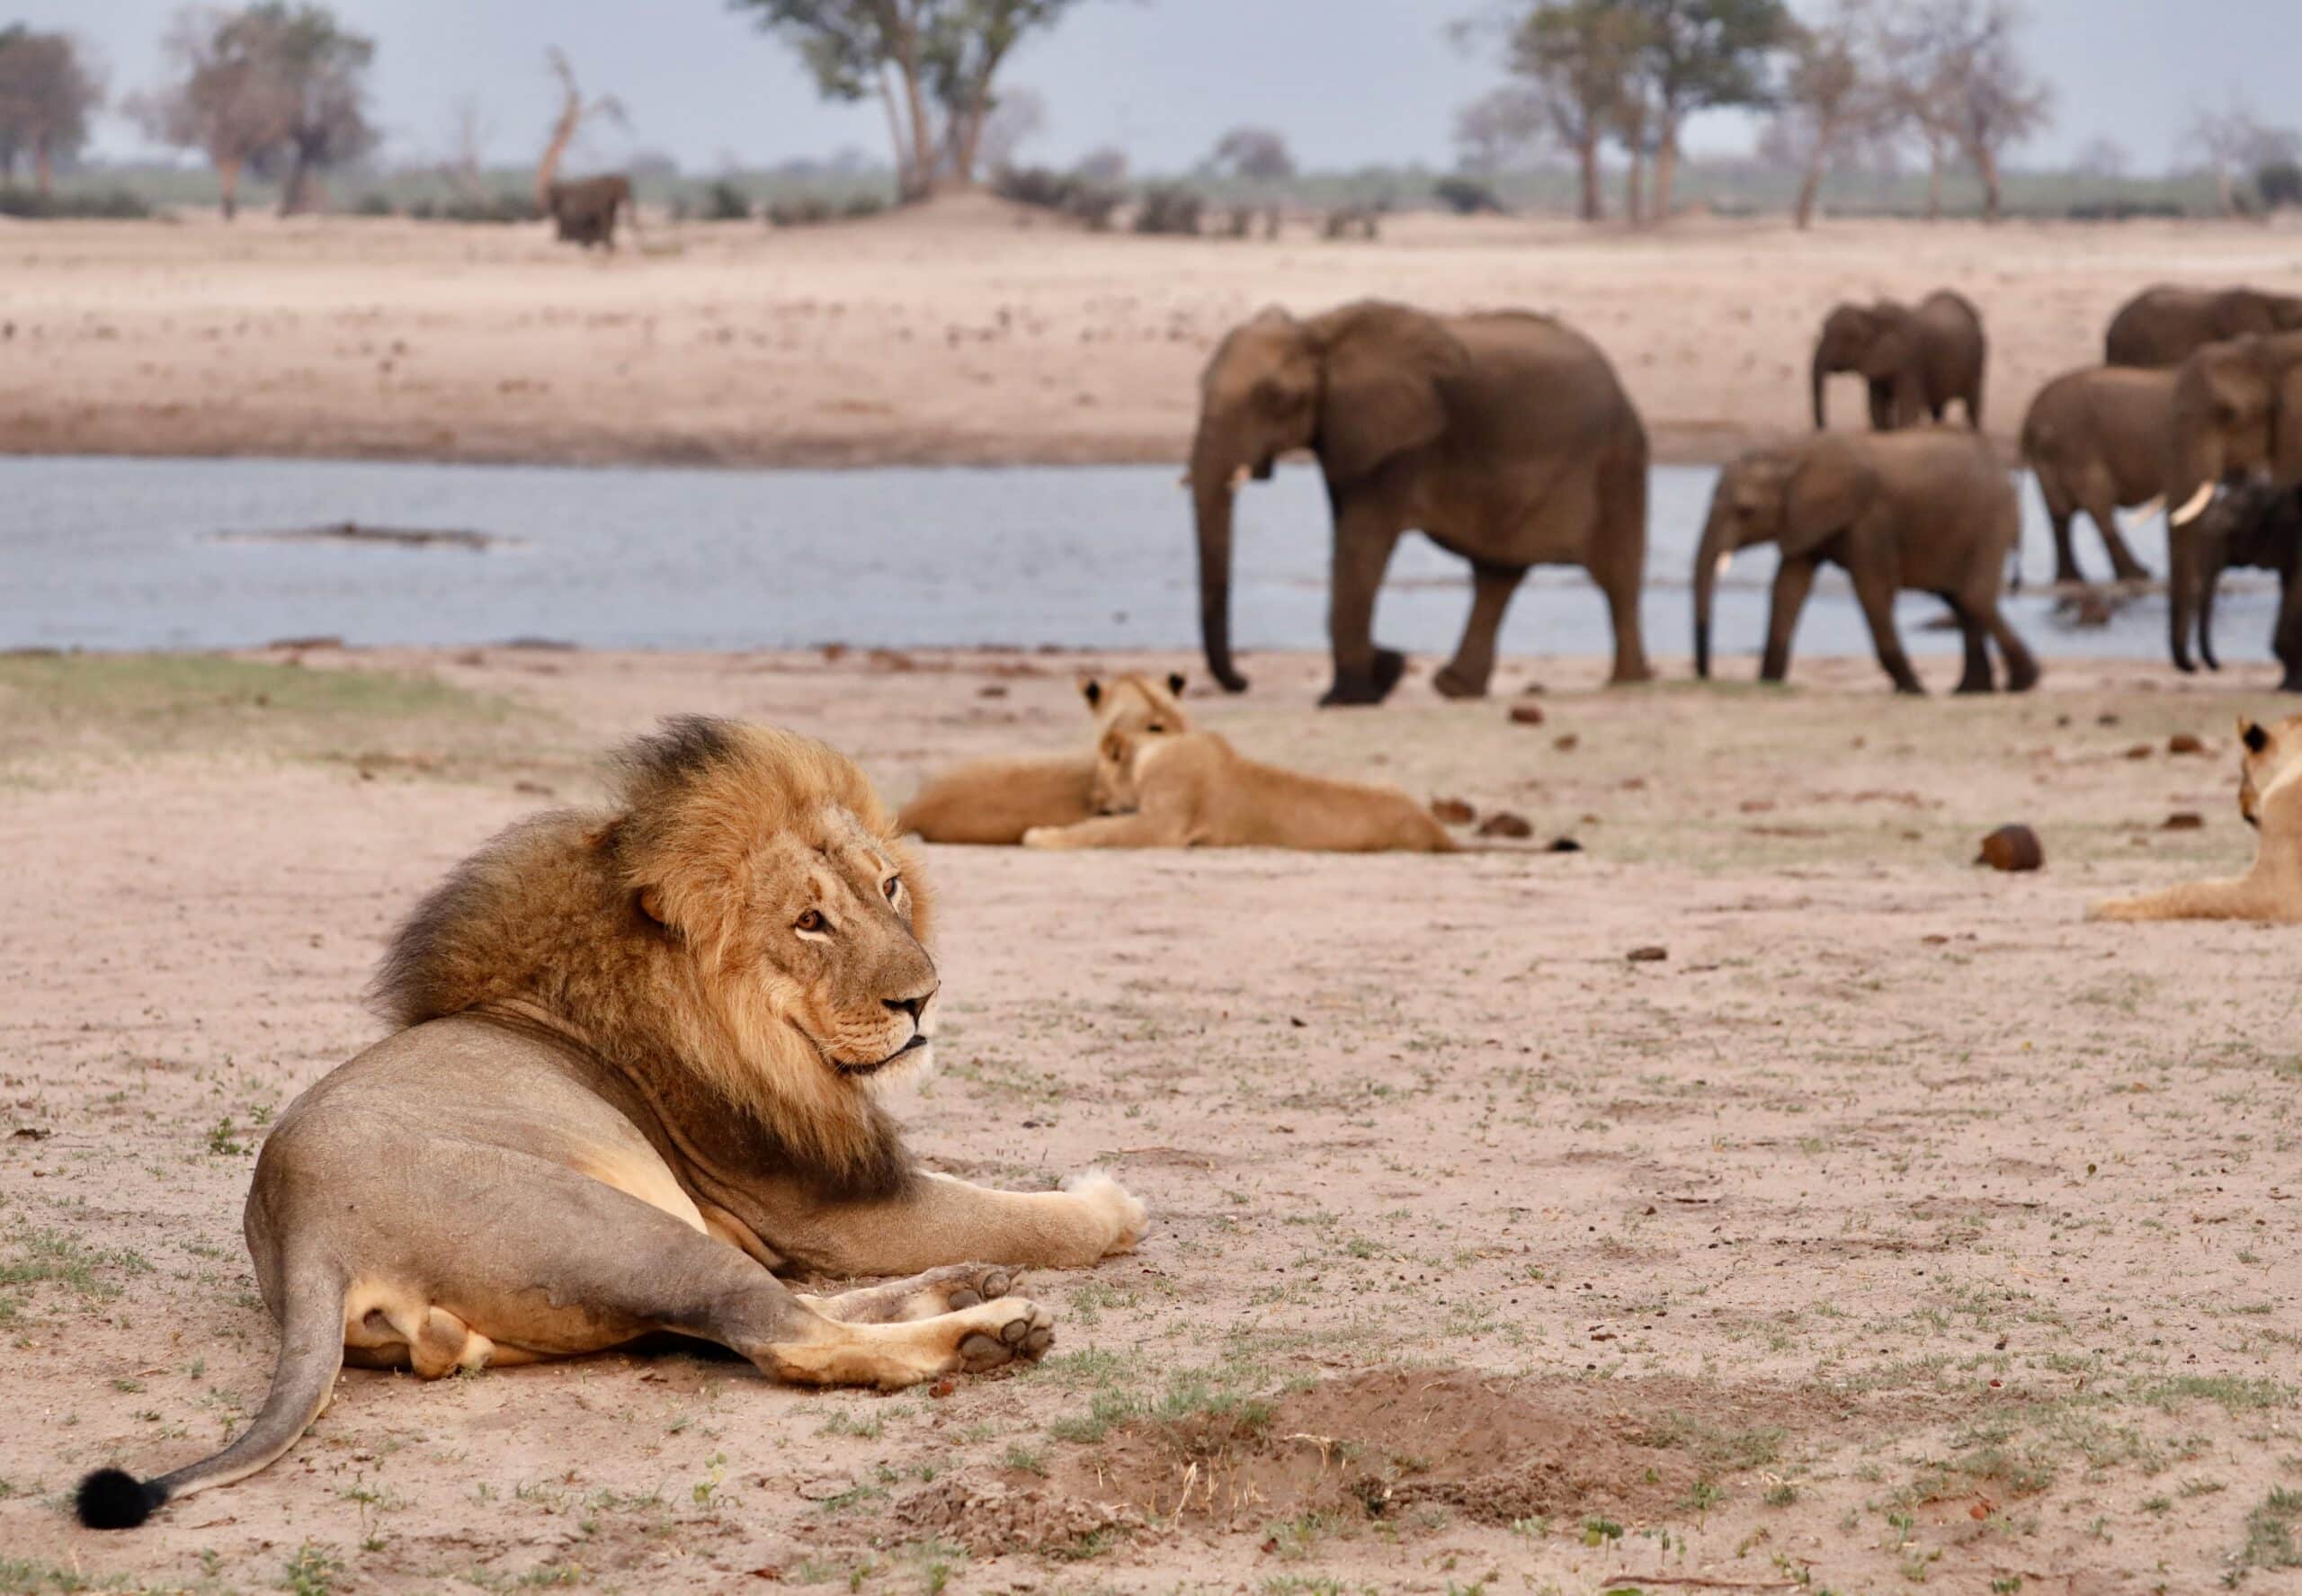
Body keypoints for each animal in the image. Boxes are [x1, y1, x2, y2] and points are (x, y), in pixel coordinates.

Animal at [76, 717, 1146, 1530]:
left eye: (887, 888)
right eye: (809, 921)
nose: (923, 998)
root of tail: (300, 1231)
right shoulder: (829, 1208)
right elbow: (1024, 1212)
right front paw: (1107, 1204)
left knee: (771, 1314)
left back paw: (966, 1291)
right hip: (623, 1225)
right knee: (783, 1330)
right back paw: (987, 1332)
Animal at [1021, 726, 1458, 853]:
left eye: (1098, 776)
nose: (1091, 798)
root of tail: (1438, 830)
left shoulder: (1164, 825)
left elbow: (1097, 831)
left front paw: (1039, 835)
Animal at [2090, 714, 2302, 923]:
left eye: (2243, 770)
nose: (2242, 806)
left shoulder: (2277, 891)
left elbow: (2190, 890)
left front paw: (2106, 906)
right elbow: (2209, 882)